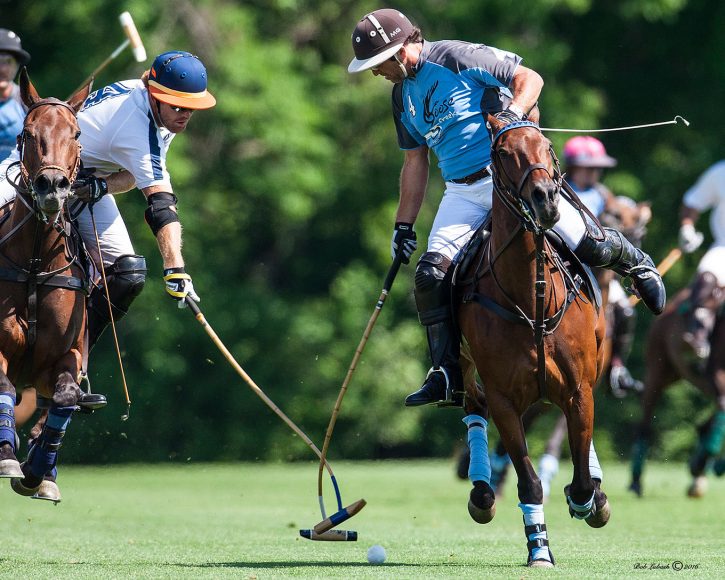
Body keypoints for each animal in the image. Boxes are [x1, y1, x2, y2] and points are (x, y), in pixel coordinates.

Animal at [458, 113, 612, 568]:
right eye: (504, 153)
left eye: (547, 146)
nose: (546, 199)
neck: (533, 298)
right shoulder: (505, 398)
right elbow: (528, 481)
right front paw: (539, 548)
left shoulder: (579, 390)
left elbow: (580, 472)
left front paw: (587, 500)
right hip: (465, 365)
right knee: (473, 406)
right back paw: (481, 492)